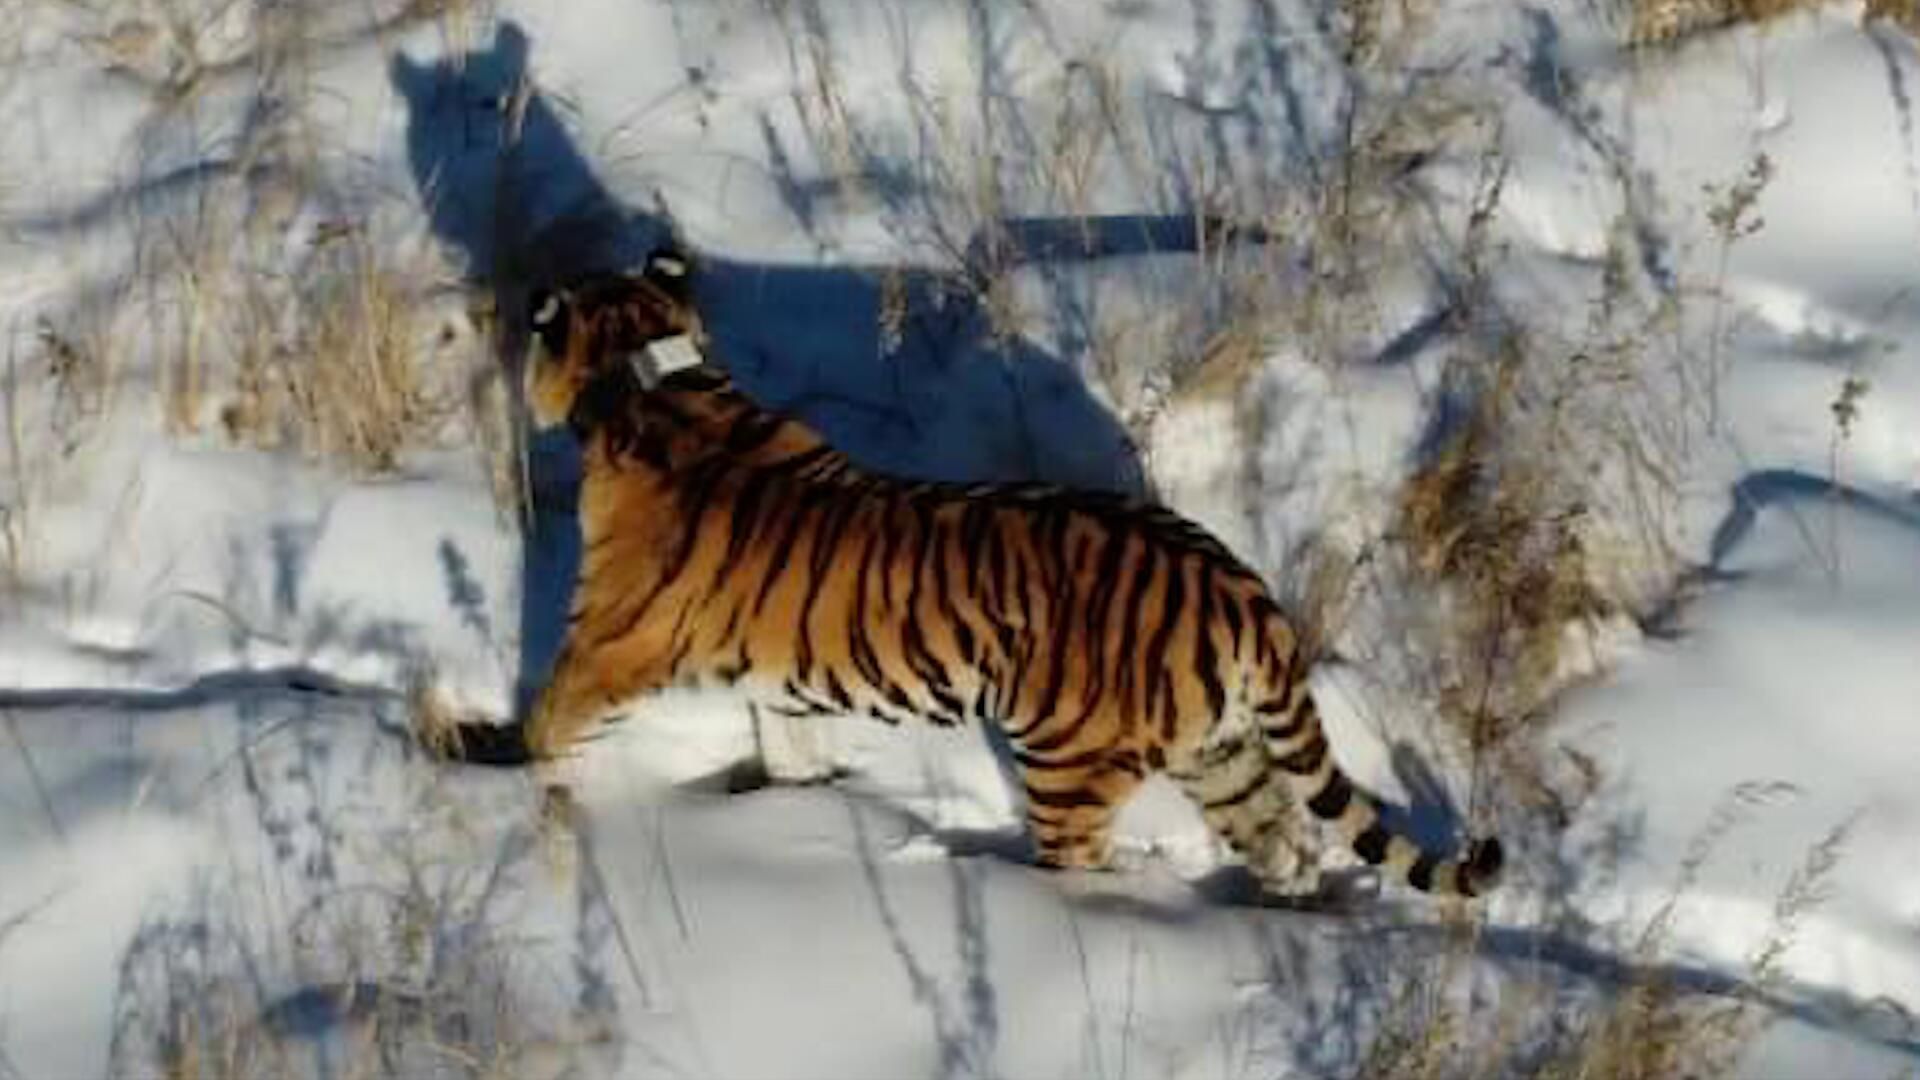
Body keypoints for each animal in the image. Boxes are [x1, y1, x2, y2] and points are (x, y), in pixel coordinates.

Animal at [446, 251, 1504, 900]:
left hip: (1070, 764)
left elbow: (550, 719)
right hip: (1224, 755)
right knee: (1288, 843)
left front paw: (498, 777)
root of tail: (1243, 591)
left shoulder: (608, 641)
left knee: (1088, 868)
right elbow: (789, 746)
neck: (651, 375)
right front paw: (795, 804)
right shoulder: (778, 682)